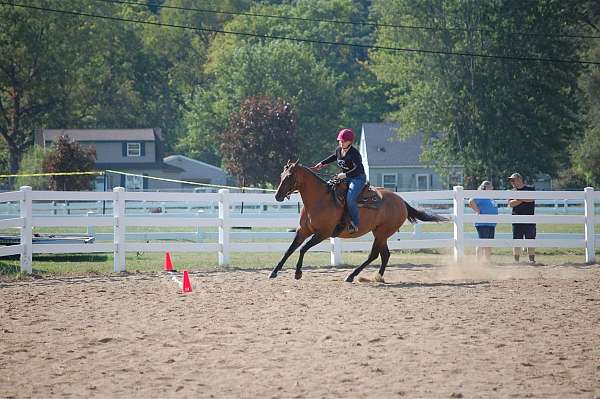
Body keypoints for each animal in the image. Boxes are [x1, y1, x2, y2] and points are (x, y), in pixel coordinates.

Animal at [270, 161, 448, 282]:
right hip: (380, 233)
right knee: (385, 255)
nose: (277, 196)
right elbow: (289, 250)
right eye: (281, 176)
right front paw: (274, 272)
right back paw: (377, 277)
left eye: (290, 176)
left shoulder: (323, 234)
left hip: (382, 233)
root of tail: (401, 201)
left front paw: (298, 272)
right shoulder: (303, 231)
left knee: (374, 255)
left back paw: (351, 276)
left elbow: (302, 249)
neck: (319, 200)